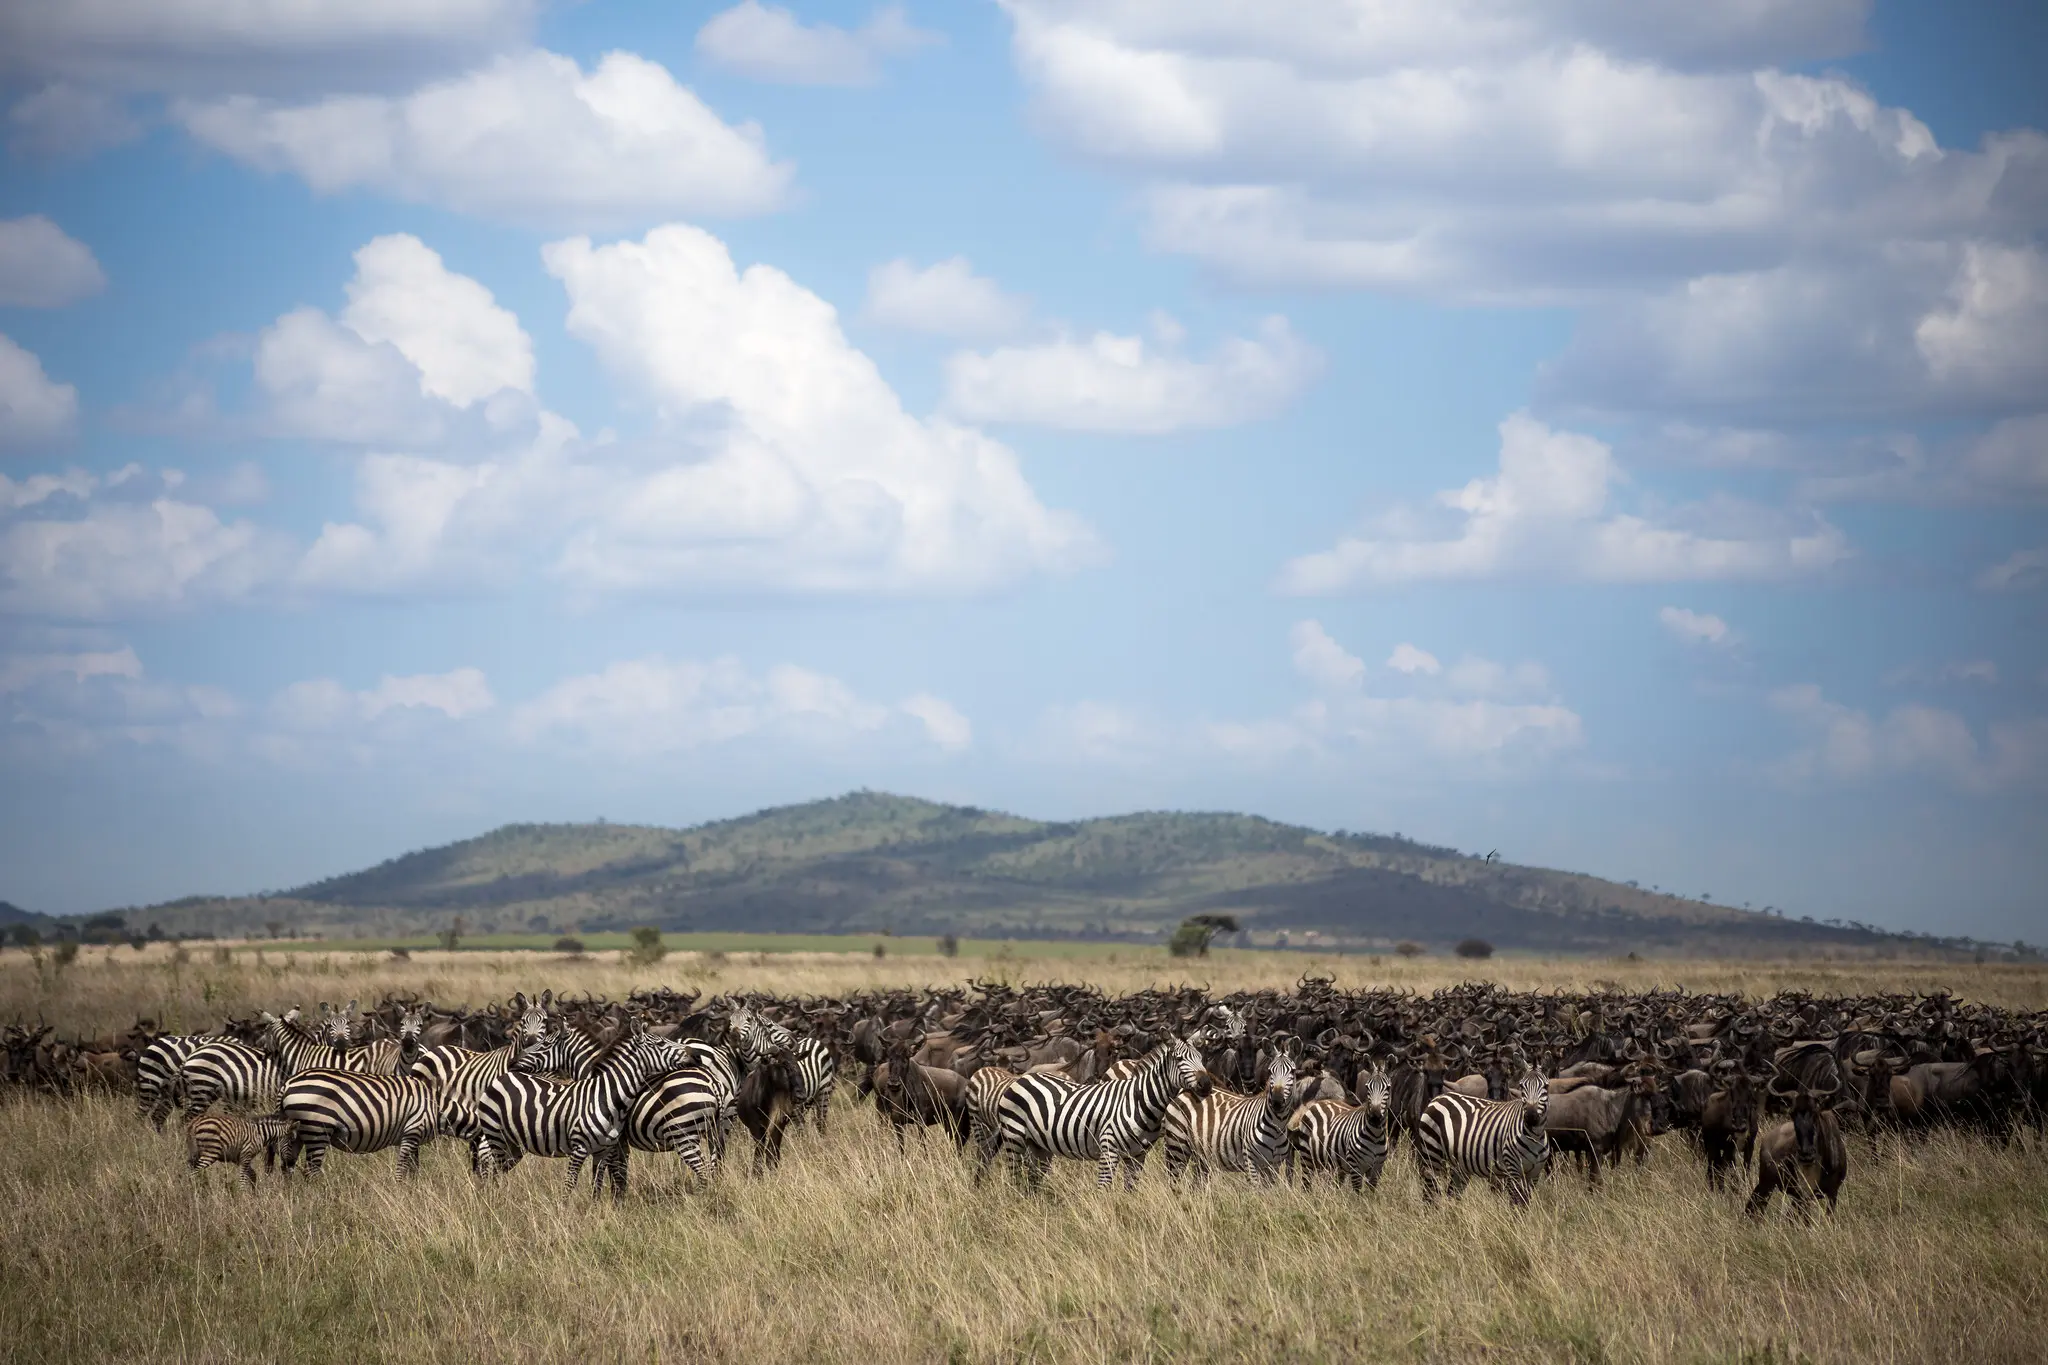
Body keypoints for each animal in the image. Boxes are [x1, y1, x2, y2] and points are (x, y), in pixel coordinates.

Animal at [473, 1035, 692, 1195]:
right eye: (661, 1043)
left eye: (545, 1043)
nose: (692, 1055)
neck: (605, 1095)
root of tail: (500, 1078)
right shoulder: (585, 1148)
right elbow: (578, 1182)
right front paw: (567, 1214)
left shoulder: (605, 1149)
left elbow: (601, 1182)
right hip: (499, 1138)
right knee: (492, 1171)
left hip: (513, 1145)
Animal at [995, 1039, 1204, 1186]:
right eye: (1179, 1059)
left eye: (1201, 1059)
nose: (1207, 1083)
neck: (1138, 1101)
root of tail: (1022, 1078)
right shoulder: (1109, 1148)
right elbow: (1104, 1189)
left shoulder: (1137, 1155)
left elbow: (1130, 1189)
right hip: (1014, 1137)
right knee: (1015, 1176)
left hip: (1039, 1145)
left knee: (1033, 1179)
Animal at [1163, 1055, 1302, 1186]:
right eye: (1270, 1071)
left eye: (1293, 1071)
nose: (1277, 1101)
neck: (1276, 1127)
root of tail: (1185, 1091)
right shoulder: (1251, 1162)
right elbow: (1256, 1193)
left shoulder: (1274, 1166)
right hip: (1177, 1145)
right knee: (1173, 1182)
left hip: (1201, 1156)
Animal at [1425, 1072, 1548, 1211]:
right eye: (1521, 1087)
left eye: (1546, 1086)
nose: (1531, 1117)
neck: (1534, 1137)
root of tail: (1438, 1098)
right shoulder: (1512, 1169)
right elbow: (1516, 1202)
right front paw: (1513, 1216)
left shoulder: (1535, 1173)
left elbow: (1525, 1203)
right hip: (1431, 1154)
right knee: (1429, 1192)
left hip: (1460, 1167)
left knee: (1452, 1193)